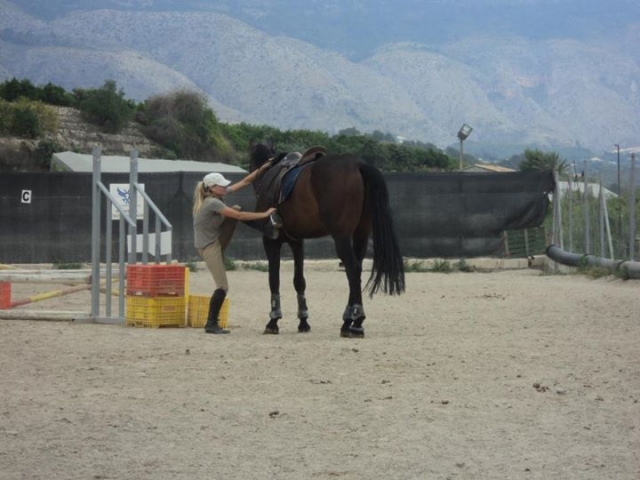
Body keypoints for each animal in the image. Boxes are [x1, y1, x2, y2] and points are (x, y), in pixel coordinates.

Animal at [248, 139, 405, 338]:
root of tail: (358, 165)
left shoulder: (270, 241)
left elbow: (273, 279)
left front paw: (273, 321)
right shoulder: (297, 242)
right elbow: (299, 281)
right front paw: (303, 320)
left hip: (342, 238)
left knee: (353, 270)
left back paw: (353, 320)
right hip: (360, 235)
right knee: (357, 270)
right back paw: (352, 322)